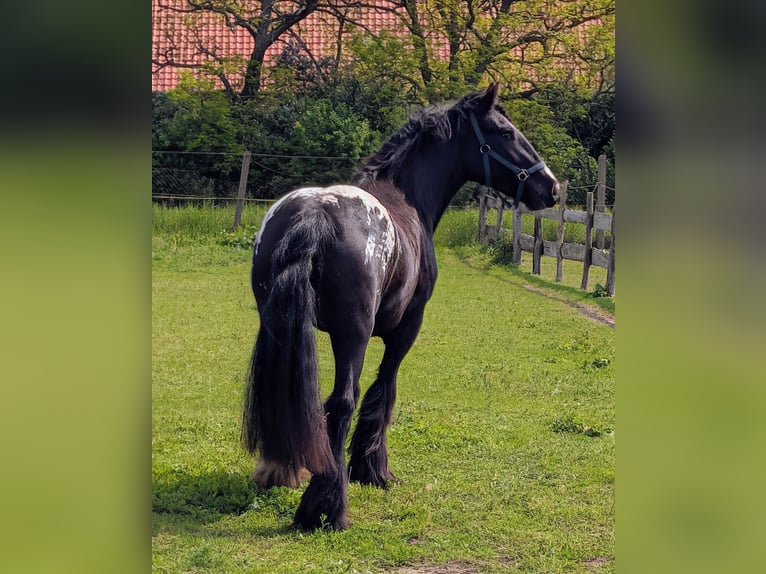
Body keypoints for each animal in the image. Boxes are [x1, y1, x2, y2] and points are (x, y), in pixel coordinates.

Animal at [242, 83, 560, 530]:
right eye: (505, 132)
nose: (551, 188)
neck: (405, 197)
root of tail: (315, 216)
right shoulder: (407, 328)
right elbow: (384, 390)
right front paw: (372, 470)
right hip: (351, 335)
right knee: (342, 402)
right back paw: (325, 507)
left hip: (277, 325)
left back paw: (280, 470)